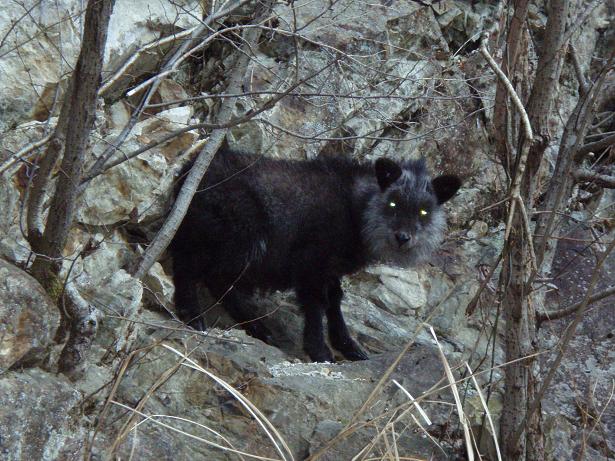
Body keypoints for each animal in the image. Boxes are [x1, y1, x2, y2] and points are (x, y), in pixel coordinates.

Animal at [171, 149, 460, 362]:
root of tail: (190, 172)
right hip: (236, 240)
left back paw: (259, 329)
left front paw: (348, 346)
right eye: (393, 203)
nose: (403, 238)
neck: (355, 209)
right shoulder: (311, 263)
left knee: (218, 280)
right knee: (192, 268)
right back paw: (193, 316)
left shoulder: (329, 268)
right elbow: (317, 303)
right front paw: (320, 350)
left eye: (424, 211)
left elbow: (335, 300)